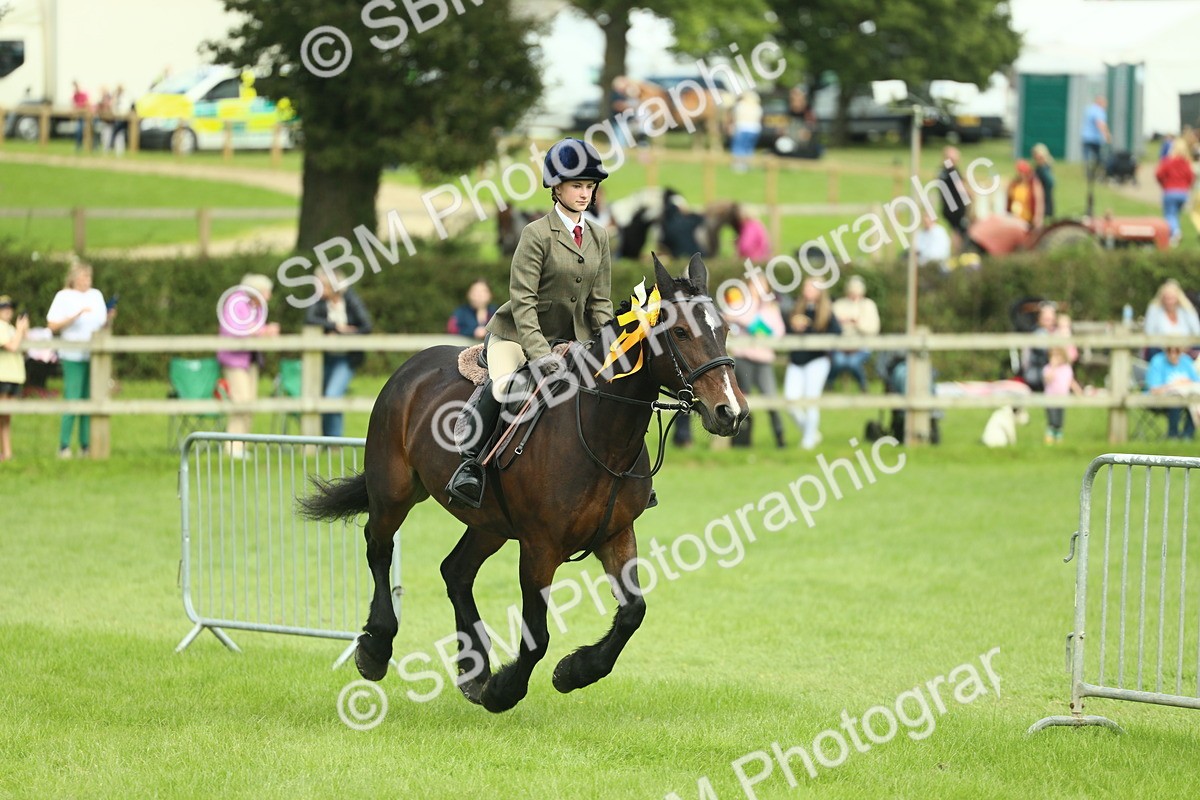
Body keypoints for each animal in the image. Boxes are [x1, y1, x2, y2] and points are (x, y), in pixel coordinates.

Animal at [299, 254, 749, 713]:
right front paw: (504, 690)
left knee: (455, 571)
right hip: (393, 492)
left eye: (724, 331)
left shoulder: (617, 534)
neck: (601, 434)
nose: (731, 412)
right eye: (680, 332)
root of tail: (411, 367)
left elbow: (633, 613)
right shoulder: (539, 548)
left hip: (489, 523)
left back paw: (474, 670)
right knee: (379, 547)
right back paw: (377, 649)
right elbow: (537, 637)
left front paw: (573, 671)